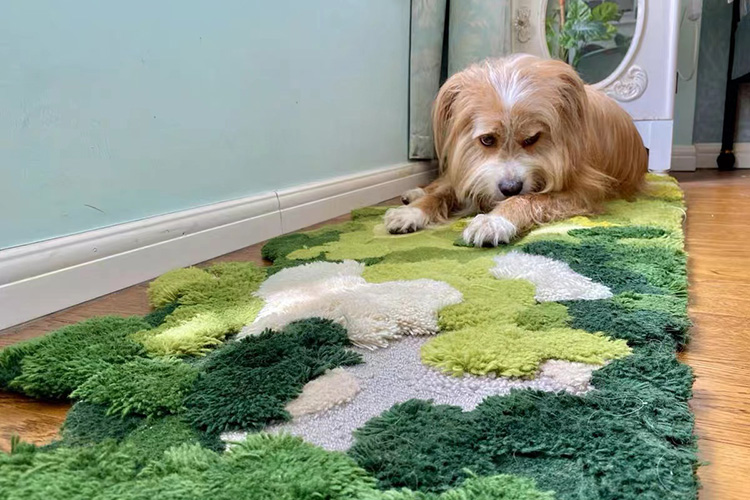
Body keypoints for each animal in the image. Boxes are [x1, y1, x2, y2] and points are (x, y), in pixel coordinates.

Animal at [384, 54, 648, 246]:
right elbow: (443, 193)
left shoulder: (581, 191)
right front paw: (412, 212)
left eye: (532, 138)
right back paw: (413, 195)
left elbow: (527, 199)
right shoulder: (471, 168)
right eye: (487, 140)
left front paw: (494, 221)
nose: (510, 188)